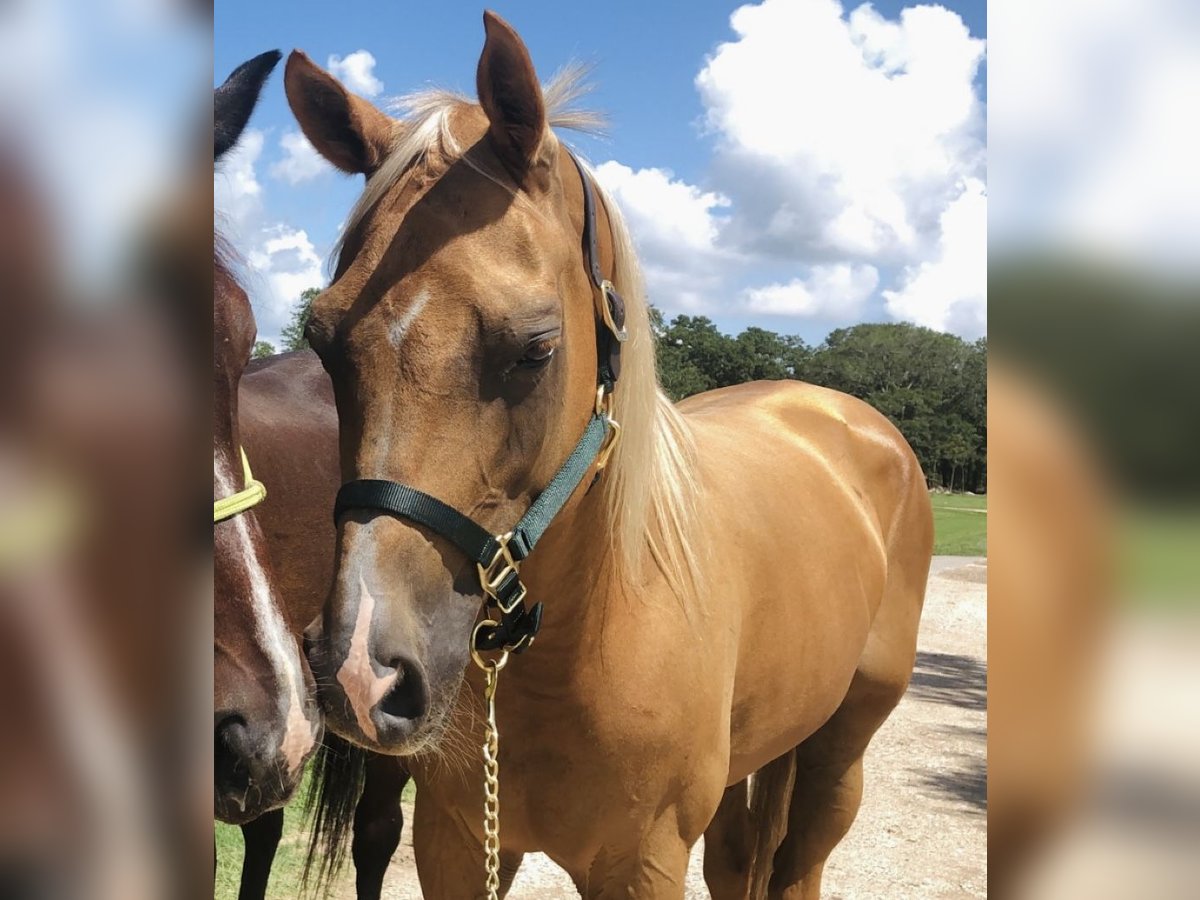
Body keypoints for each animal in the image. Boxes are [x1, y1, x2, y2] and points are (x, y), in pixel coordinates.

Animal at [285, 12, 931, 897]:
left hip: (841, 751)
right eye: (323, 340)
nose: (360, 672)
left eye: (536, 347)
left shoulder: (643, 862)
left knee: (802, 858)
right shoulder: (458, 842)